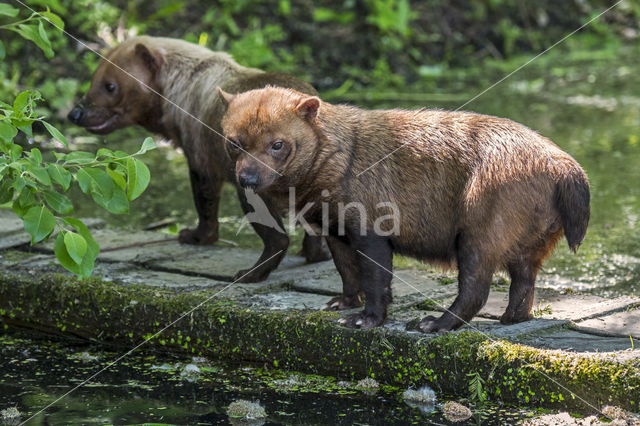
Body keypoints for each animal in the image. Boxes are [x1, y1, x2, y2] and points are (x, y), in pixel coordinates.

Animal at [67, 36, 330, 282]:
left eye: (110, 86)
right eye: (93, 78)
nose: (75, 113)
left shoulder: (201, 156)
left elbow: (204, 202)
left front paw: (195, 236)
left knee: (278, 236)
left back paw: (251, 273)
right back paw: (317, 253)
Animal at [220, 86, 592, 332]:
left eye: (277, 144)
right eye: (233, 141)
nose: (247, 178)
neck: (340, 160)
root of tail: (566, 167)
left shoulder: (370, 226)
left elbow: (376, 277)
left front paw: (365, 319)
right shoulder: (334, 228)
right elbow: (346, 269)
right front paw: (341, 302)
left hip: (481, 229)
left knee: (477, 287)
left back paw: (435, 323)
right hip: (532, 240)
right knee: (524, 279)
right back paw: (511, 318)